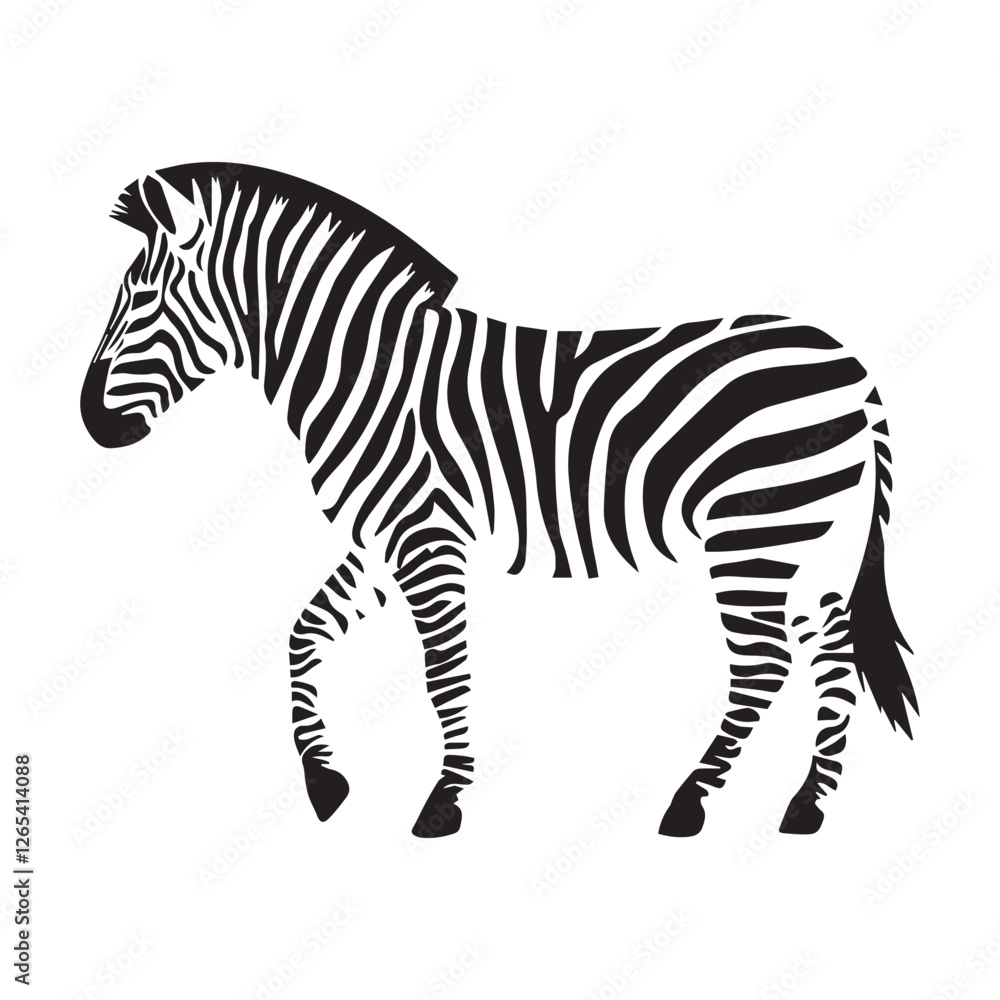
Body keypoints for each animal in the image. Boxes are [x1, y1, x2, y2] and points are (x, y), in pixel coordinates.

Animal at [80, 163, 917, 839]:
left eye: (142, 298)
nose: (90, 420)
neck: (369, 373)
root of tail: (852, 367)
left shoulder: (425, 537)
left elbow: (443, 672)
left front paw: (444, 800)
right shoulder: (380, 544)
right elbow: (303, 635)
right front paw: (325, 781)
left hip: (755, 534)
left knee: (766, 666)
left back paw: (690, 803)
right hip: (805, 541)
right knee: (832, 659)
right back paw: (807, 806)